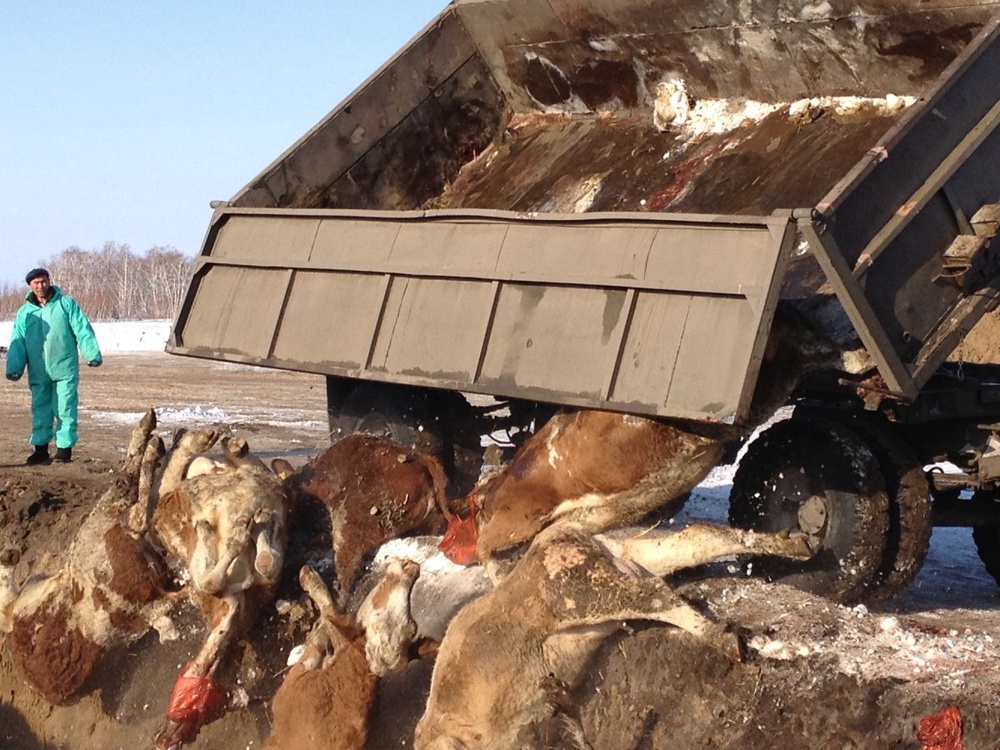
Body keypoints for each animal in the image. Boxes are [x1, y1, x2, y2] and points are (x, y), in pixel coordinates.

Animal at [414, 524, 812, 750]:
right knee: (701, 539)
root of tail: (558, 535)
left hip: (578, 592)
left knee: (653, 594)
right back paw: (794, 544)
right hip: (634, 560)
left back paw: (724, 640)